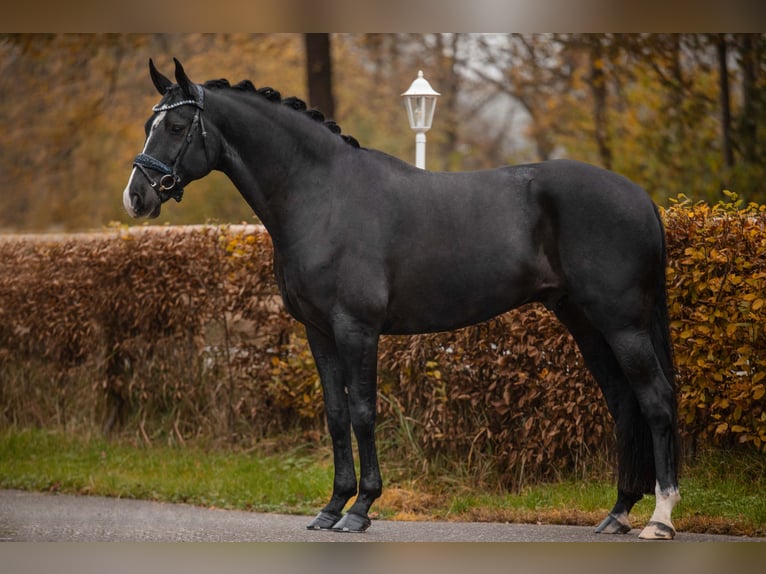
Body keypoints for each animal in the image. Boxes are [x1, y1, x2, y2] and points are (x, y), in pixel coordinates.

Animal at [124, 60, 684, 544]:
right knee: (623, 403)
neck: (323, 197)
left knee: (655, 399)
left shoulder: (356, 328)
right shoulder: (318, 331)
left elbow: (363, 411)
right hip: (586, 323)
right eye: (149, 124)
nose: (137, 198)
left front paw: (361, 509)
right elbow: (335, 414)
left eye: (177, 125)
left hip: (623, 324)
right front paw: (331, 507)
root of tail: (642, 199)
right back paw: (617, 513)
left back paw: (660, 518)